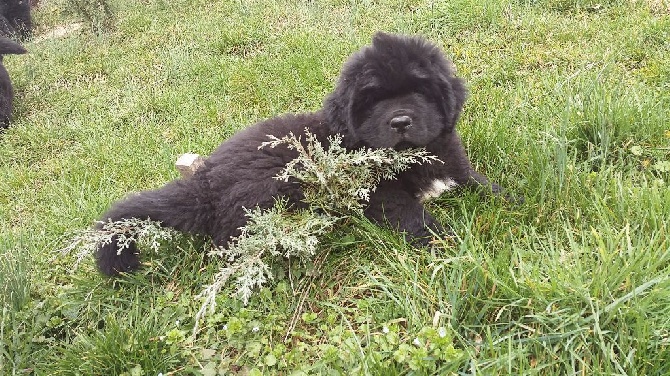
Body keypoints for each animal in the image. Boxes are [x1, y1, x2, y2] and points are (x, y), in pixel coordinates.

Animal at [96, 33, 516, 276]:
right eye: (373, 100)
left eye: (420, 89)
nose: (400, 121)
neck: (414, 156)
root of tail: (204, 181)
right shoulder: (378, 195)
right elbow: (413, 215)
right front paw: (445, 240)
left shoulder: (453, 162)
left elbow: (478, 182)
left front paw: (513, 200)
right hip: (268, 190)